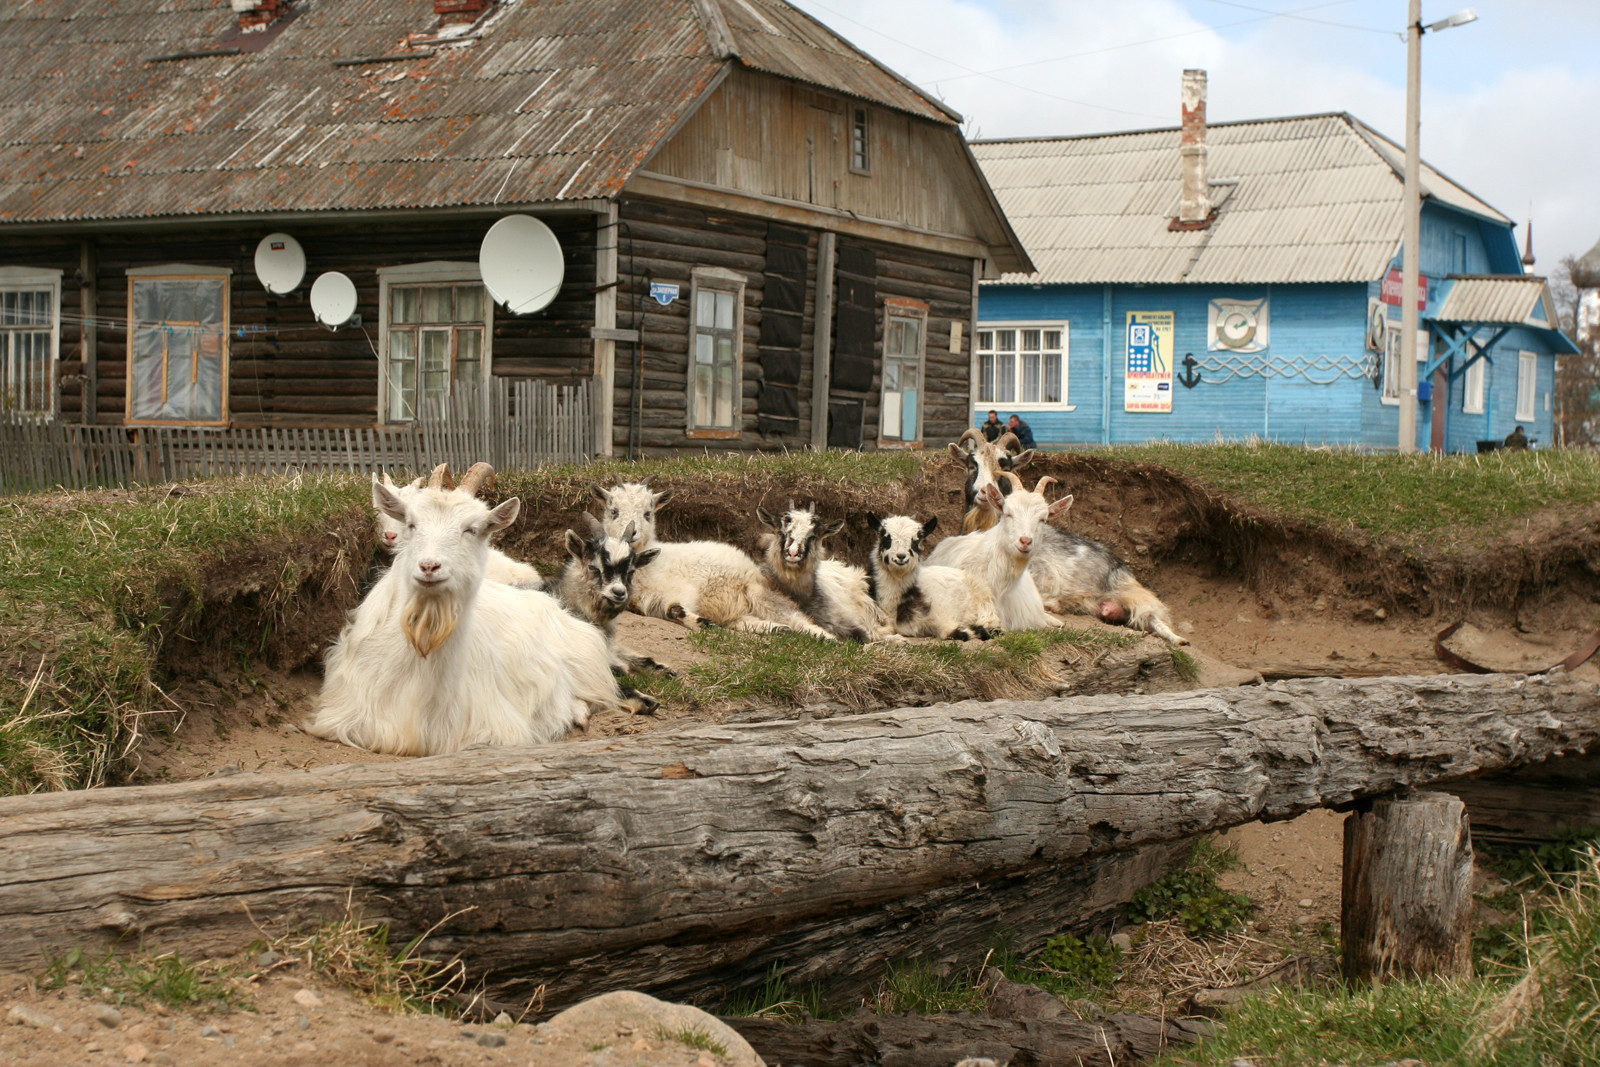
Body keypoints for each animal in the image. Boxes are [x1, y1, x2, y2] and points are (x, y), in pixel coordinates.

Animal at [595, 486, 832, 643]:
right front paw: (704, 622)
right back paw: (778, 629)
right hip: (740, 610)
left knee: (795, 616)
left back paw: (825, 637)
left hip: (757, 592)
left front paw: (704, 623)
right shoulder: (650, 601)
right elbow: (673, 610)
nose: (631, 532)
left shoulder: (677, 589)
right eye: (614, 511)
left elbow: (677, 608)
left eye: (647, 513)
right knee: (745, 621)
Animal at [870, 511, 992, 639]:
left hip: (983, 600)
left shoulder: (939, 617)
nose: (901, 556)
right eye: (885, 537)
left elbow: (955, 632)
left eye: (916, 540)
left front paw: (976, 630)